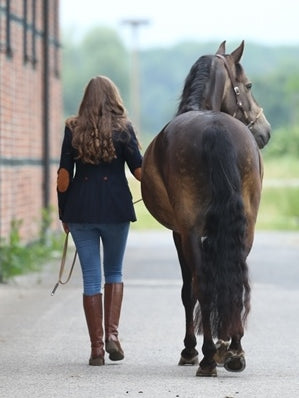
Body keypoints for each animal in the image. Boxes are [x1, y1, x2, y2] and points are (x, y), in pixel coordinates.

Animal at [141, 42, 272, 378]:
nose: (265, 132)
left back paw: (209, 357)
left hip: (190, 231)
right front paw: (225, 346)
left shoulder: (180, 232)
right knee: (234, 279)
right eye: (248, 85)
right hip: (245, 227)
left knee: (202, 285)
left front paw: (190, 350)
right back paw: (233, 352)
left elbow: (189, 290)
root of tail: (215, 128)